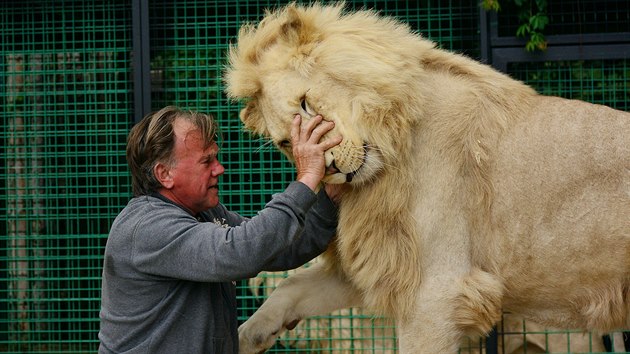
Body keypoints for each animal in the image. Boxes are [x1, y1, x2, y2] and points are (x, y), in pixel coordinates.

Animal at [226, 3, 630, 354]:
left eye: (307, 104)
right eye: (285, 142)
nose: (332, 170)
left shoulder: (436, 291)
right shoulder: (384, 266)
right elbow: (289, 287)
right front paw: (248, 336)